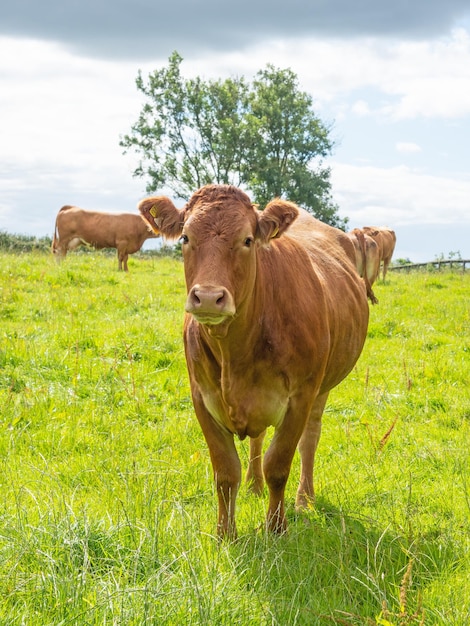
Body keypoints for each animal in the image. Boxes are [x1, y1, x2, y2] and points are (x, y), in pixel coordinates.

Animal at [139, 182, 370, 536]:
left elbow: (279, 464)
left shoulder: (300, 397)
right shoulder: (201, 397)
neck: (235, 354)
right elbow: (225, 472)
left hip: (322, 388)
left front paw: (276, 528)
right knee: (258, 440)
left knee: (310, 440)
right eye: (185, 238)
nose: (209, 297)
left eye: (247, 240)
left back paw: (305, 500)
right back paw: (253, 485)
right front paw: (225, 533)